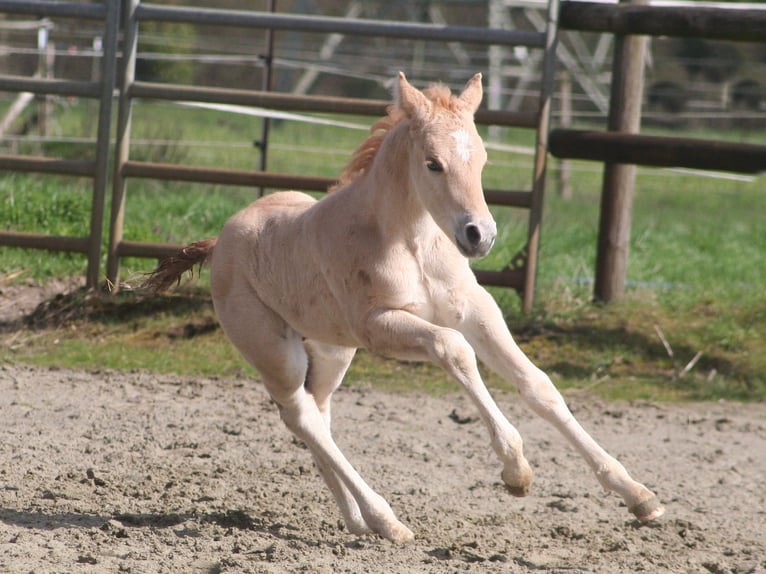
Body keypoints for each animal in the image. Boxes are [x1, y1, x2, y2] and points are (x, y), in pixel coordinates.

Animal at [143, 72, 664, 543]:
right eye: (433, 164)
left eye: (483, 159)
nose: (480, 235)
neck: (412, 241)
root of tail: (220, 241)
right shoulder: (380, 325)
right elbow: (454, 350)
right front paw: (516, 470)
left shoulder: (475, 308)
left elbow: (538, 385)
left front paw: (639, 496)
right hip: (277, 352)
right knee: (301, 416)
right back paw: (386, 521)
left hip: (333, 350)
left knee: (319, 414)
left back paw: (358, 520)